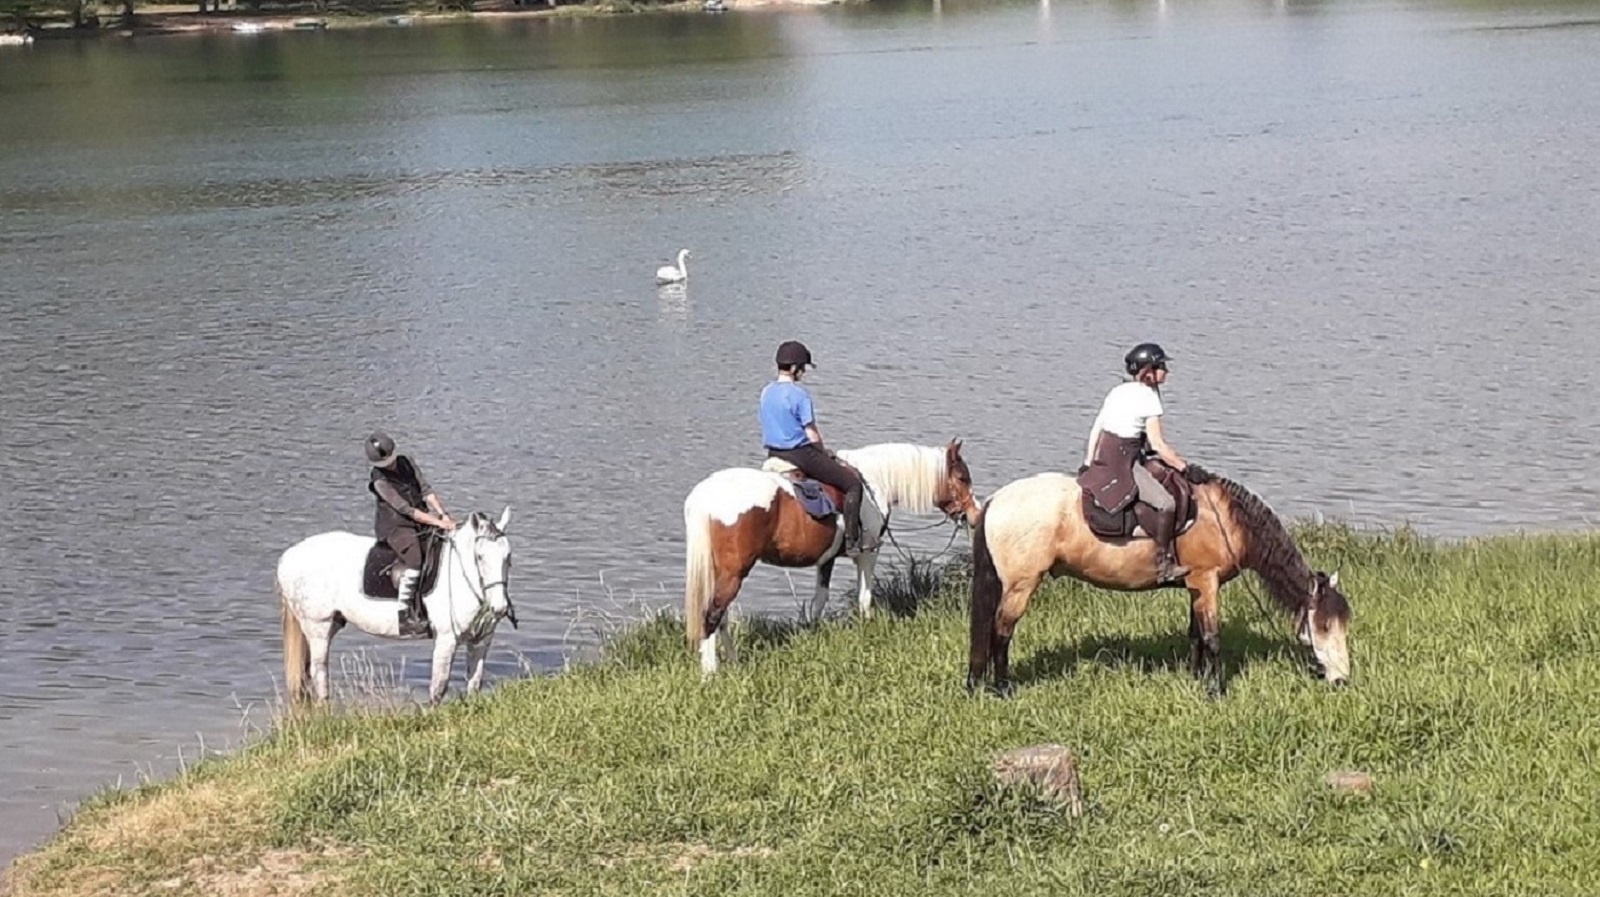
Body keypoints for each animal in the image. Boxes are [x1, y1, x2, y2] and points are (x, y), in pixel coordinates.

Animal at [278, 508, 515, 703]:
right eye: (480, 557)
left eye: (508, 556)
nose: (499, 608)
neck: (460, 574)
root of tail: (287, 557)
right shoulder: (446, 640)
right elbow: (438, 689)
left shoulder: (481, 641)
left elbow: (474, 684)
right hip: (318, 626)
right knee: (319, 675)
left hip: (328, 625)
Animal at [684, 438, 979, 674]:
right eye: (962, 478)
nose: (975, 516)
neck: (874, 481)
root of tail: (705, 496)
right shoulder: (868, 553)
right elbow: (864, 597)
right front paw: (866, 630)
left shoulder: (827, 559)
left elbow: (819, 600)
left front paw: (812, 632)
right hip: (735, 572)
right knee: (713, 613)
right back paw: (710, 670)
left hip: (721, 571)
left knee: (720, 616)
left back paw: (732, 661)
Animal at [960, 463, 1350, 697]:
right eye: (1325, 626)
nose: (1342, 679)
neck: (1226, 518)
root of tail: (996, 501)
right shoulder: (1207, 582)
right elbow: (1212, 637)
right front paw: (1216, 690)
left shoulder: (1197, 586)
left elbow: (1196, 634)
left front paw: (1197, 677)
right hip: (1021, 585)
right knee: (1001, 632)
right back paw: (1003, 688)